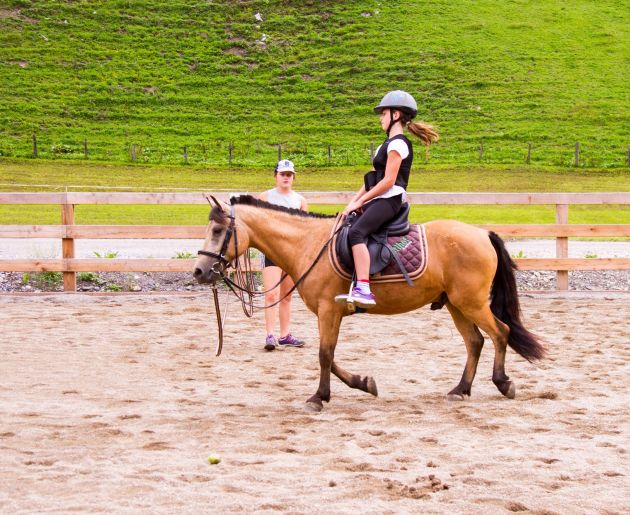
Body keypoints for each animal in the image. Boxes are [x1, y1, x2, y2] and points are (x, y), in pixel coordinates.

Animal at [193, 196, 544, 414]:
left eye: (218, 230)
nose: (199, 271)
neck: (309, 244)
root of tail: (483, 234)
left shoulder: (328, 311)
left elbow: (324, 355)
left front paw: (318, 397)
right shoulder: (331, 313)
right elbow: (330, 355)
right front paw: (364, 383)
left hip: (470, 303)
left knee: (500, 333)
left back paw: (503, 383)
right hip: (457, 305)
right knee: (475, 342)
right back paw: (460, 389)